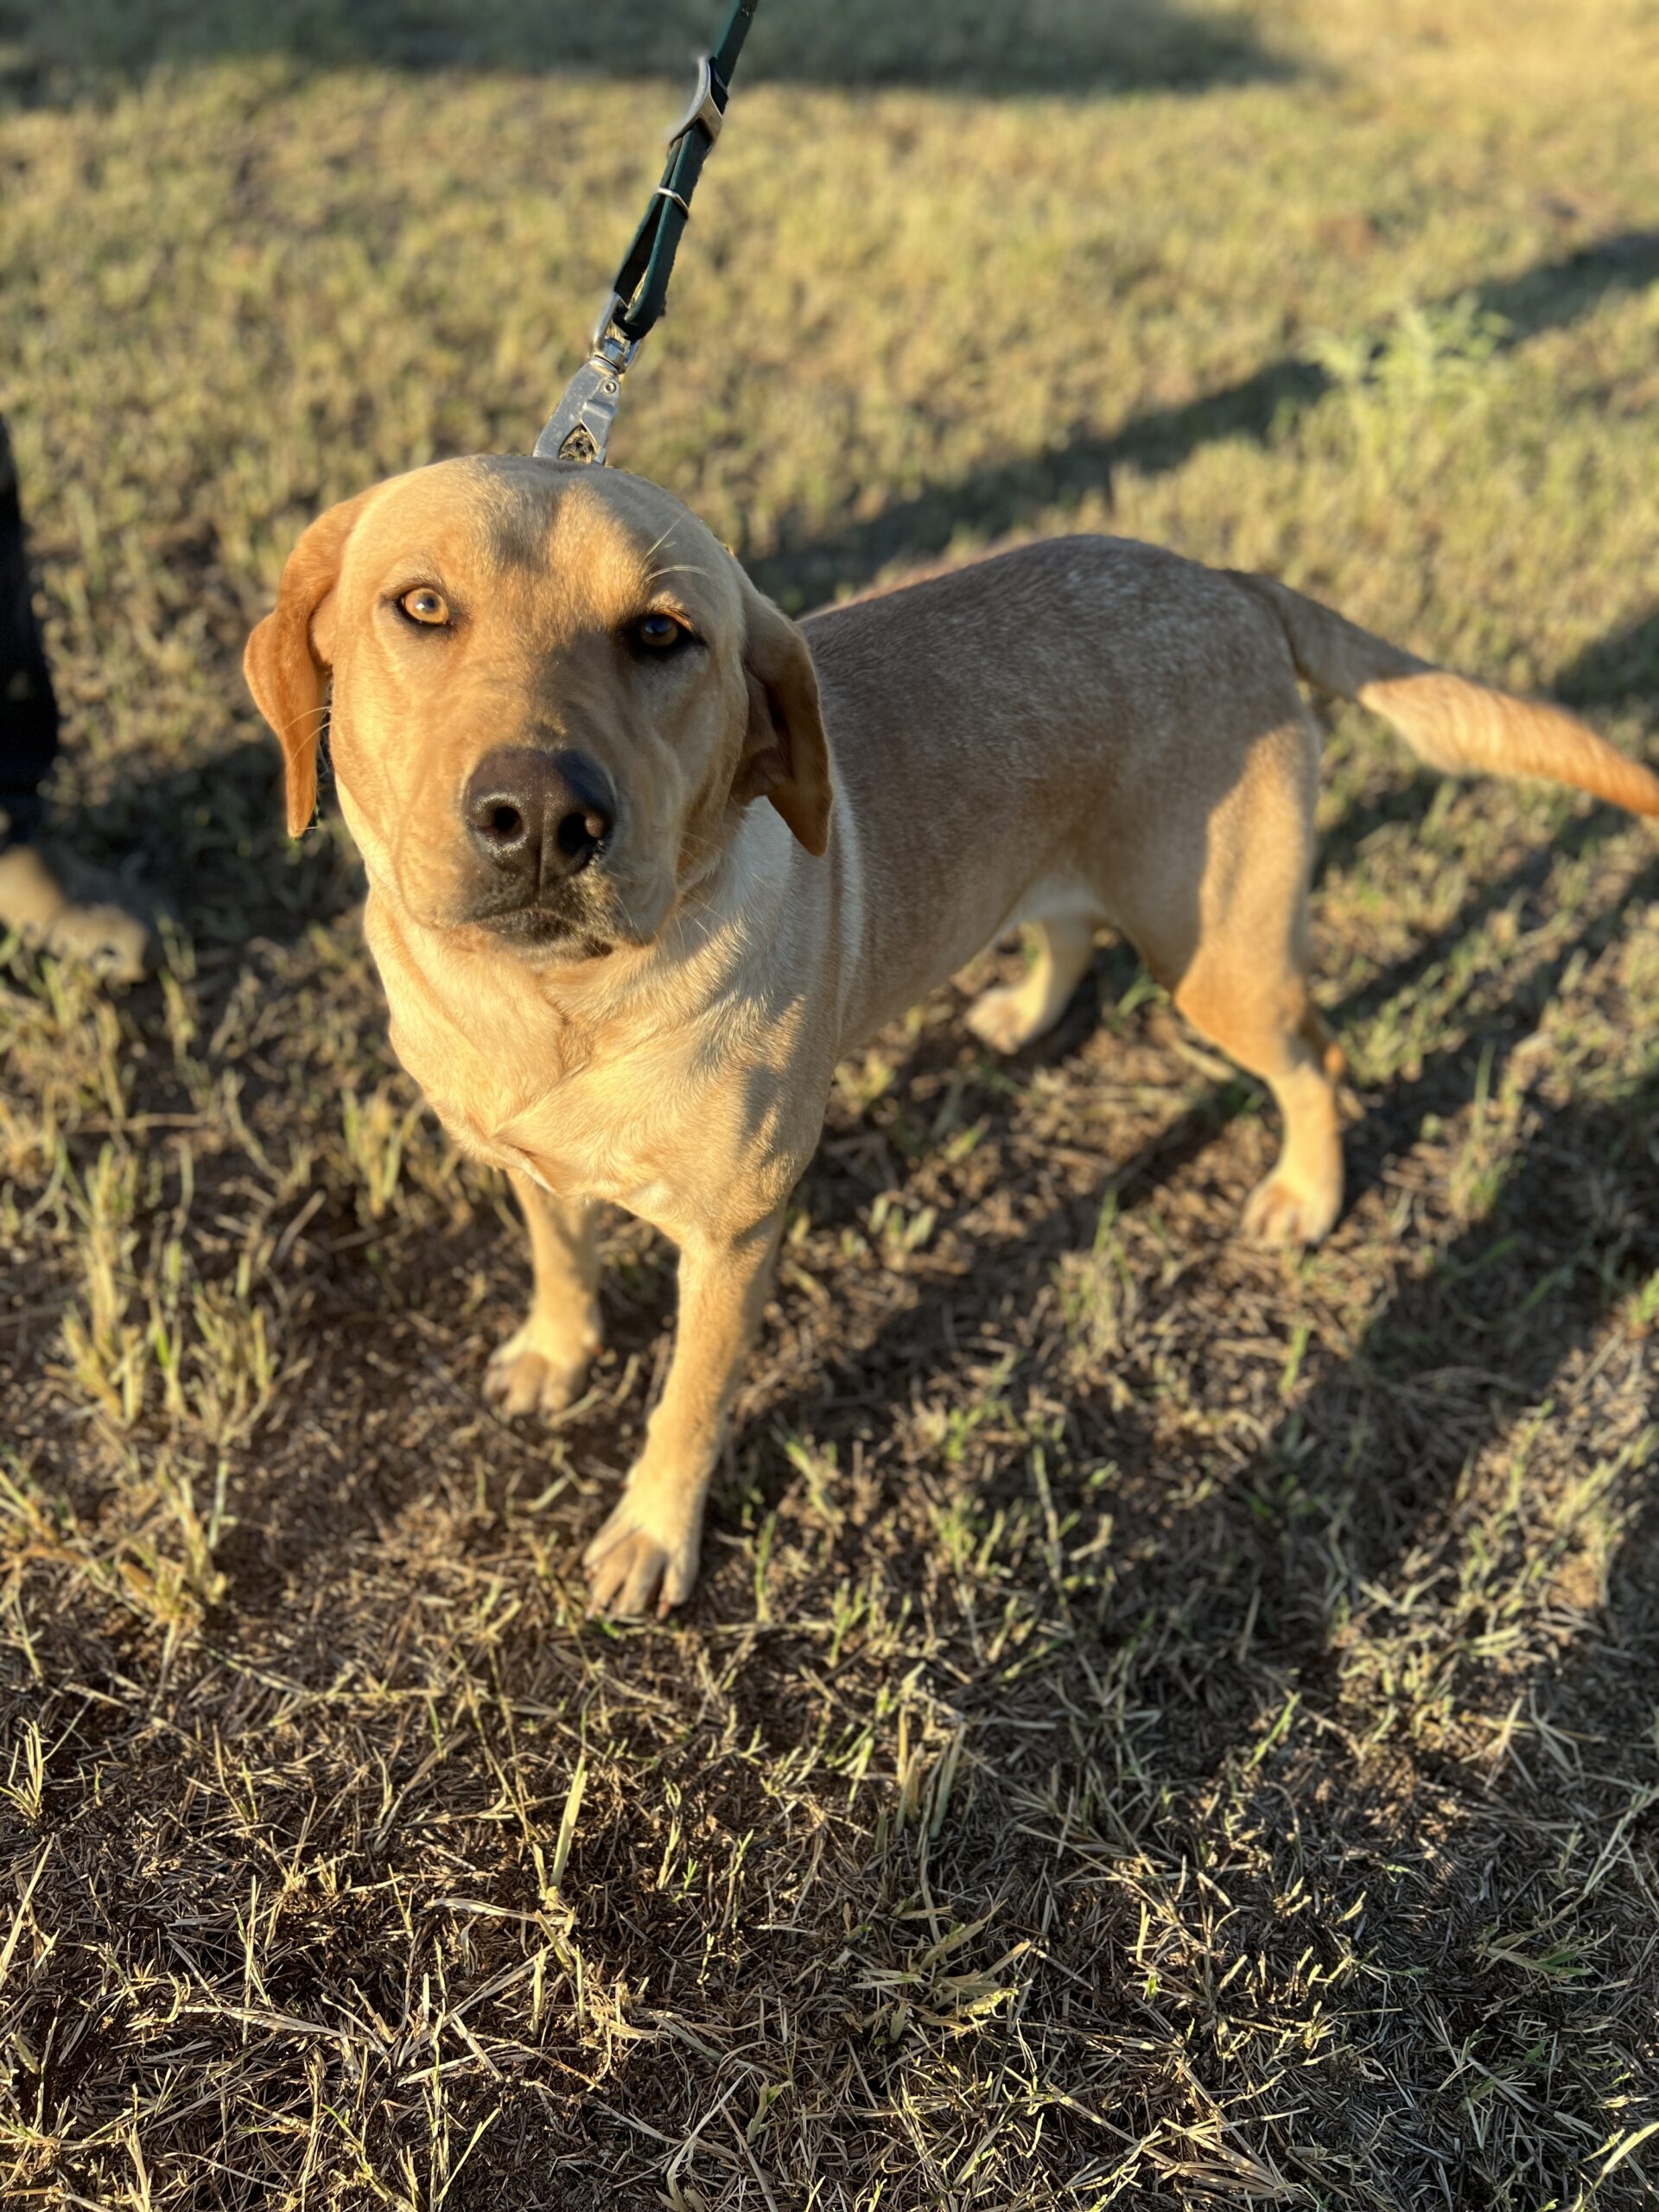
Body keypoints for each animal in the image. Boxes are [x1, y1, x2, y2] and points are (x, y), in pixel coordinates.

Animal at [246, 457, 1659, 1618]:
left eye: (662, 634)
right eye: (421, 606)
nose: (544, 816)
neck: (560, 1008)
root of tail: (1226, 582)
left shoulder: (735, 1237)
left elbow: (689, 1405)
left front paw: (652, 1536)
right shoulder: (522, 1157)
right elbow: (559, 1253)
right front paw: (557, 1350)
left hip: (1219, 960)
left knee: (1316, 1054)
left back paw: (1306, 1191)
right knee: (1066, 927)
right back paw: (1030, 1014)